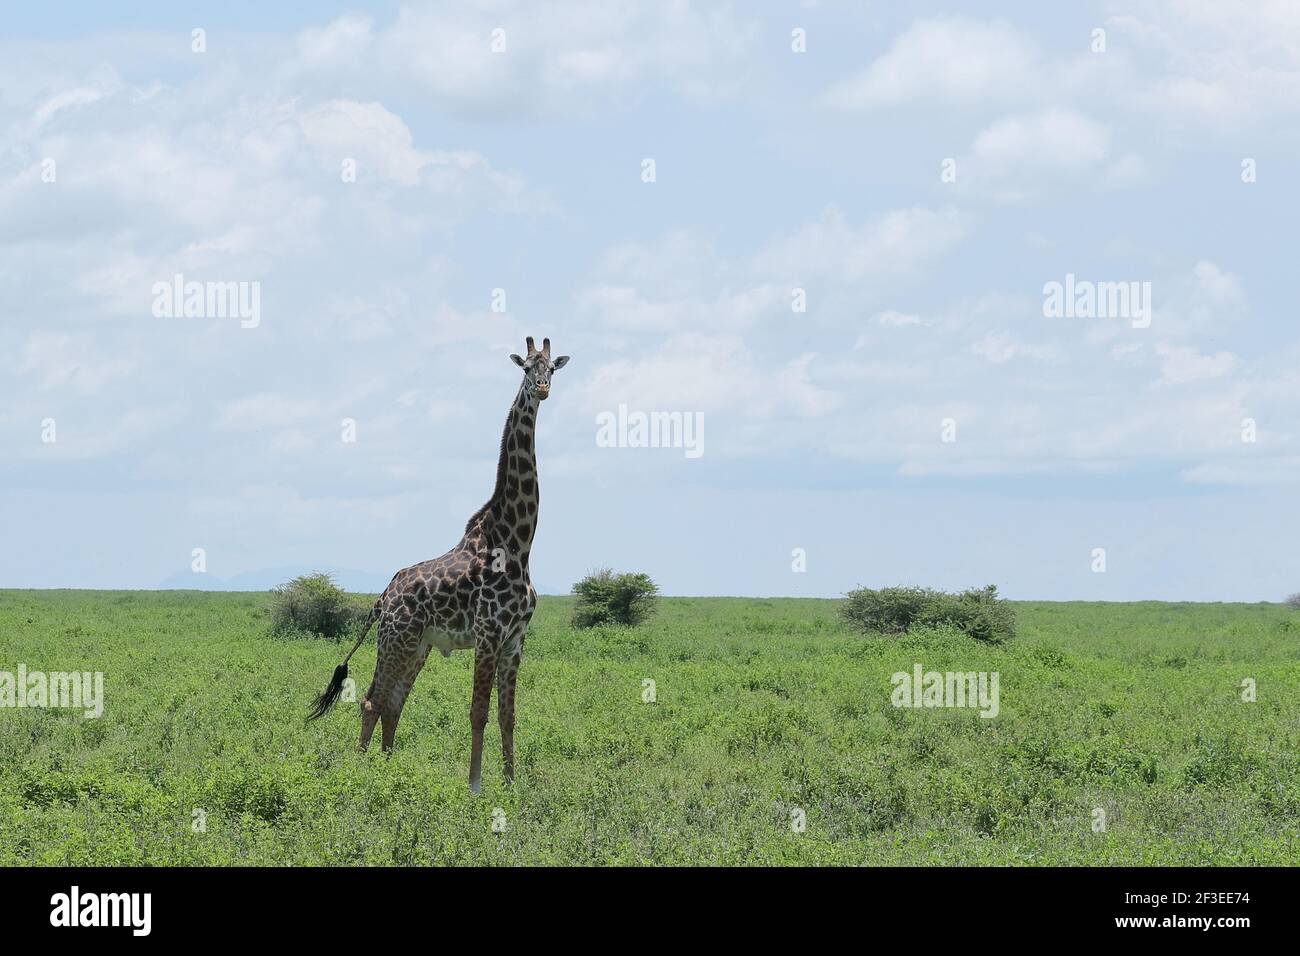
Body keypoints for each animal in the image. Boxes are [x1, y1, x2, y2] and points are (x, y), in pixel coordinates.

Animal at [306, 335, 572, 790]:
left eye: (552, 368)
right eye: (526, 369)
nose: (541, 388)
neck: (518, 543)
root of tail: (381, 599)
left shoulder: (515, 640)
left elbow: (508, 716)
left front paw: (511, 785)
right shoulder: (488, 635)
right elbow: (478, 713)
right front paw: (475, 787)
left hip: (419, 644)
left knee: (393, 703)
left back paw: (388, 769)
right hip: (395, 639)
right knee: (372, 699)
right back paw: (361, 771)